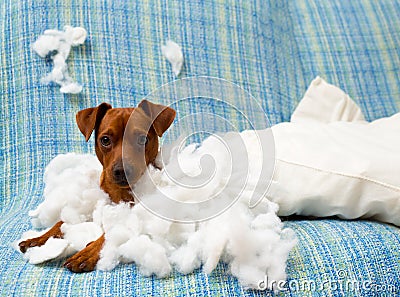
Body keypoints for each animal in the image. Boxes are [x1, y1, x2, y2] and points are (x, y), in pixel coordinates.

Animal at [18, 100, 175, 272]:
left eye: (143, 139)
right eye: (105, 140)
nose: (122, 170)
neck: (120, 193)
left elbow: (111, 232)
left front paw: (89, 252)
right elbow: (61, 222)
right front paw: (39, 238)